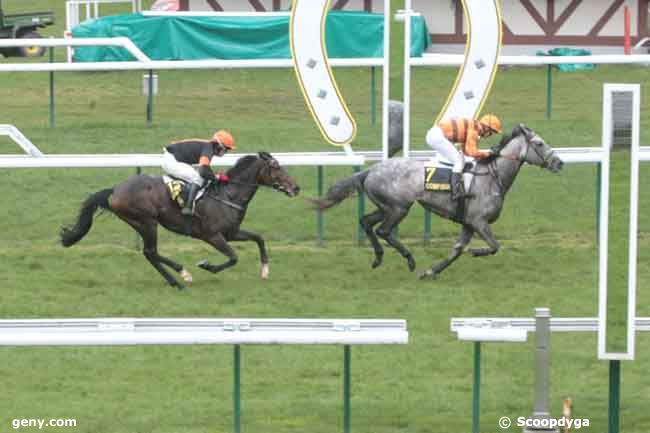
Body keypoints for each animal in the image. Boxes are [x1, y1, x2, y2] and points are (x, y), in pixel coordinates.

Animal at [60, 152, 298, 286]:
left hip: (142, 223)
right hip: (147, 222)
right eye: (276, 167)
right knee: (151, 251)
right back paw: (183, 274)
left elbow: (259, 238)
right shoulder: (212, 235)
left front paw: (265, 269)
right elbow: (233, 257)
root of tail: (115, 191)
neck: (228, 195)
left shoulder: (231, 233)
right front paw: (207, 265)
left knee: (150, 254)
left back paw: (175, 281)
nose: (296, 187)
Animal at [310, 124, 560, 280]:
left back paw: (379, 258)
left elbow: (456, 251)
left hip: (386, 206)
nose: (559, 162)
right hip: (399, 207)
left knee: (366, 222)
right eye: (539, 143)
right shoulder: (478, 221)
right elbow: (494, 246)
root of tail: (370, 170)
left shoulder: (468, 224)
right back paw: (409, 259)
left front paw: (430, 272)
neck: (491, 176)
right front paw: (476, 251)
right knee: (384, 230)